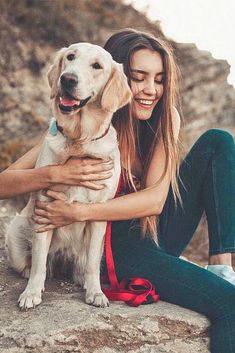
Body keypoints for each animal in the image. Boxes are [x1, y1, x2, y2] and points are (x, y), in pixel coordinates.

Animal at [5, 43, 132, 308]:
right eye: (70, 57)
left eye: (97, 66)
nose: (68, 79)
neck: (79, 140)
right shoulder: (44, 208)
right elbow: (39, 263)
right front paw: (31, 293)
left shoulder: (99, 213)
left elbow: (92, 264)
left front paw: (96, 293)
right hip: (16, 237)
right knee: (34, 263)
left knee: (85, 266)